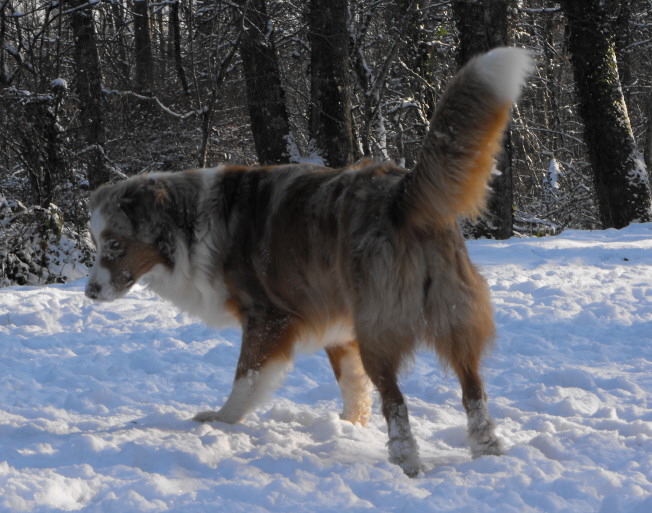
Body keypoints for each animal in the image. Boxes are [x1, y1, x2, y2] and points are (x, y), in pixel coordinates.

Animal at [86, 48, 532, 476]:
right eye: (95, 241)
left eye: (114, 244)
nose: (89, 292)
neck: (188, 223)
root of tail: (401, 192)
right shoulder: (337, 326)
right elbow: (351, 384)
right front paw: (349, 427)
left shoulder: (268, 317)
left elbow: (246, 378)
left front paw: (222, 421)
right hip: (451, 317)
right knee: (472, 391)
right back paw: (487, 451)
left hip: (378, 327)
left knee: (397, 401)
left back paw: (406, 461)